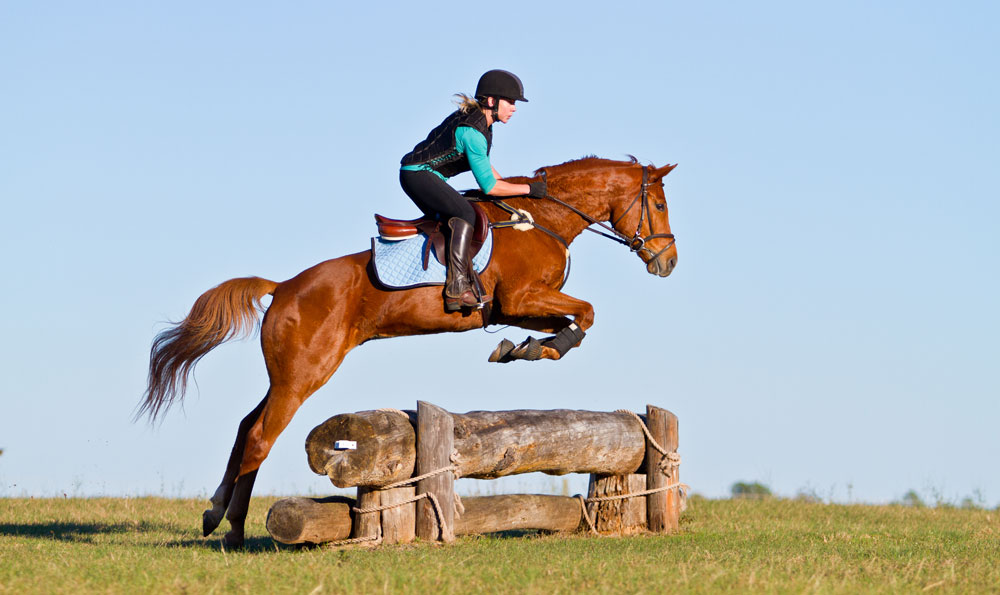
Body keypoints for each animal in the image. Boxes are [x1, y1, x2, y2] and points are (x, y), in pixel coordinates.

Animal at [139, 156, 680, 548]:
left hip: (289, 374)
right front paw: (529, 350)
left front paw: (523, 348)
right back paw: (232, 530)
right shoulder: (520, 298)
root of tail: (284, 287)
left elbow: (573, 322)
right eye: (658, 206)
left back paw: (214, 514)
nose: (668, 261)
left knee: (244, 426)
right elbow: (586, 313)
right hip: (304, 373)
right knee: (258, 438)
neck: (542, 220)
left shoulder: (520, 308)